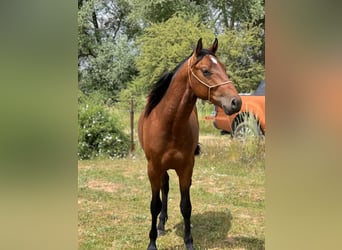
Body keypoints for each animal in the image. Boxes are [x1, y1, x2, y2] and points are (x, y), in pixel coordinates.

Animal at [138, 38, 242, 249]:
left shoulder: (186, 167)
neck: (169, 124)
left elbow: (186, 206)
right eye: (206, 71)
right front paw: (152, 241)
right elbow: (154, 205)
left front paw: (189, 241)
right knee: (164, 189)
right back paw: (161, 225)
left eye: (224, 68)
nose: (236, 102)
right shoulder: (153, 168)